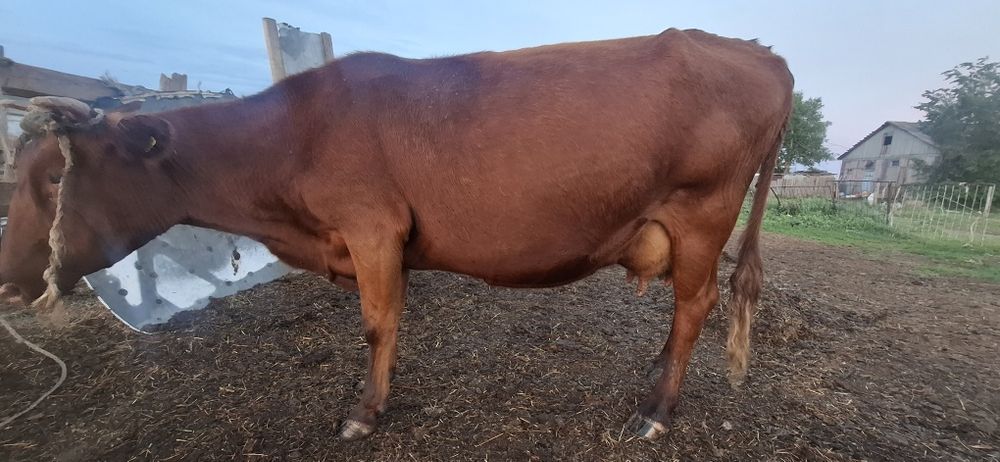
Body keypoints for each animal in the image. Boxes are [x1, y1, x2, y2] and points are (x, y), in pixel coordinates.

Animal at [0, 28, 792, 440]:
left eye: (54, 179)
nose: (9, 278)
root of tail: (757, 50)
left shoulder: (372, 227)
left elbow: (378, 324)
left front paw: (363, 413)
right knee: (685, 312)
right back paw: (654, 375)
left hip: (702, 212)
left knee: (696, 305)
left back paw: (657, 411)